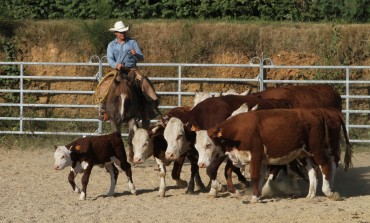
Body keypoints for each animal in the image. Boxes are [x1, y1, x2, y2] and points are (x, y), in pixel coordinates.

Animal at [192, 108, 352, 202]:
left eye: (208, 144)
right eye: (196, 146)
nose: (201, 164)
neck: (237, 132)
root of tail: (318, 113)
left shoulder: (256, 155)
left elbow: (255, 175)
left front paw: (254, 197)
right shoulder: (239, 157)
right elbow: (229, 171)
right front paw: (238, 192)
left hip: (316, 148)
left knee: (326, 166)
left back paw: (329, 192)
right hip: (303, 153)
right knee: (312, 170)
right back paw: (311, 194)